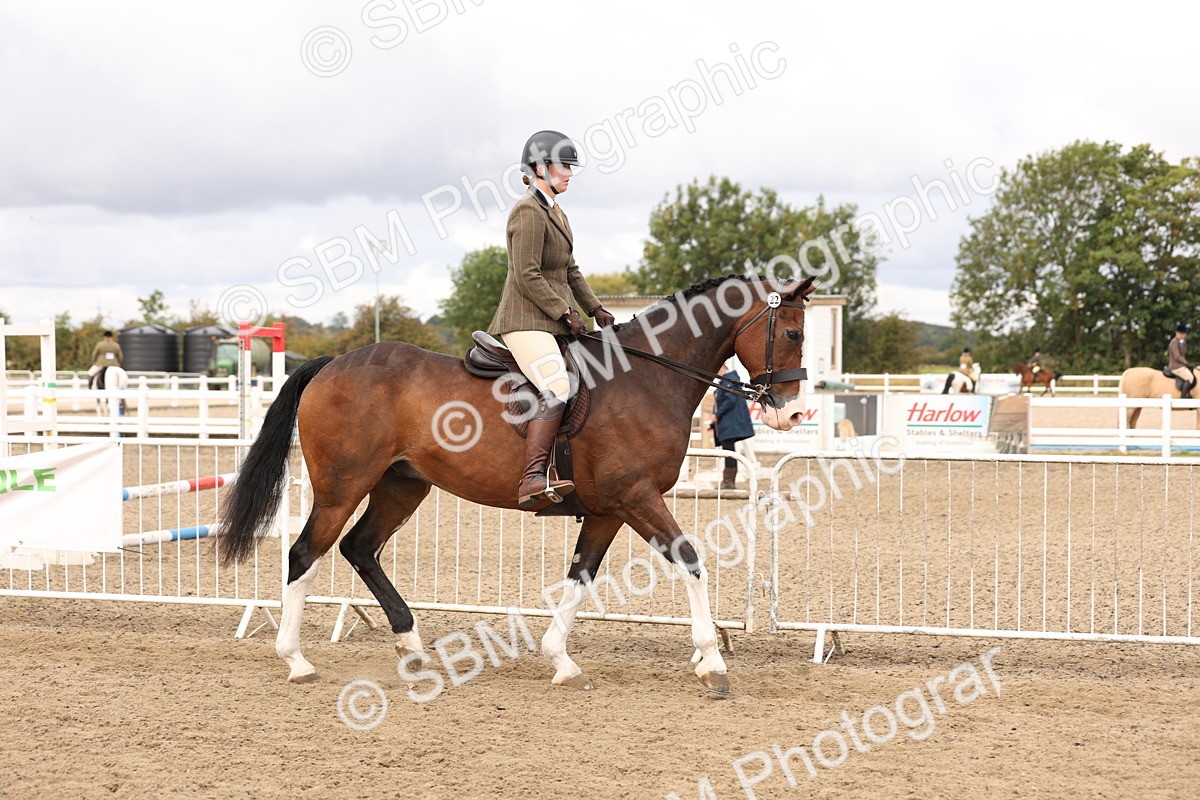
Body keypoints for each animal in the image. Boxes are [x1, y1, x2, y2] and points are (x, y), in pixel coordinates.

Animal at [217, 275, 815, 694]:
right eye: (792, 333)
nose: (793, 413)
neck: (648, 378)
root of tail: (333, 364)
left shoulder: (609, 509)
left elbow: (580, 576)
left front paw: (562, 661)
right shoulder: (637, 497)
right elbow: (690, 560)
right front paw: (712, 662)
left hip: (402, 486)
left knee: (360, 549)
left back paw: (413, 646)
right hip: (343, 486)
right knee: (305, 553)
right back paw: (297, 661)